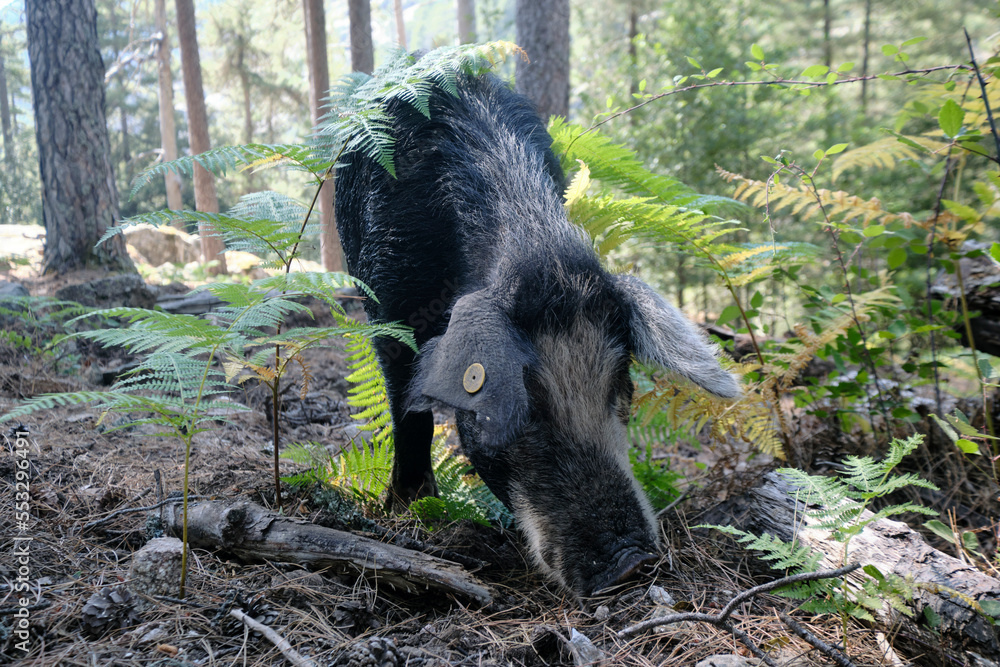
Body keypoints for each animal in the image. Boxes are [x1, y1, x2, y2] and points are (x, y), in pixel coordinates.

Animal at [335, 72, 740, 596]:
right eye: (525, 408)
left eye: (620, 387)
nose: (631, 563)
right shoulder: (388, 305)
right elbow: (407, 408)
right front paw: (409, 510)